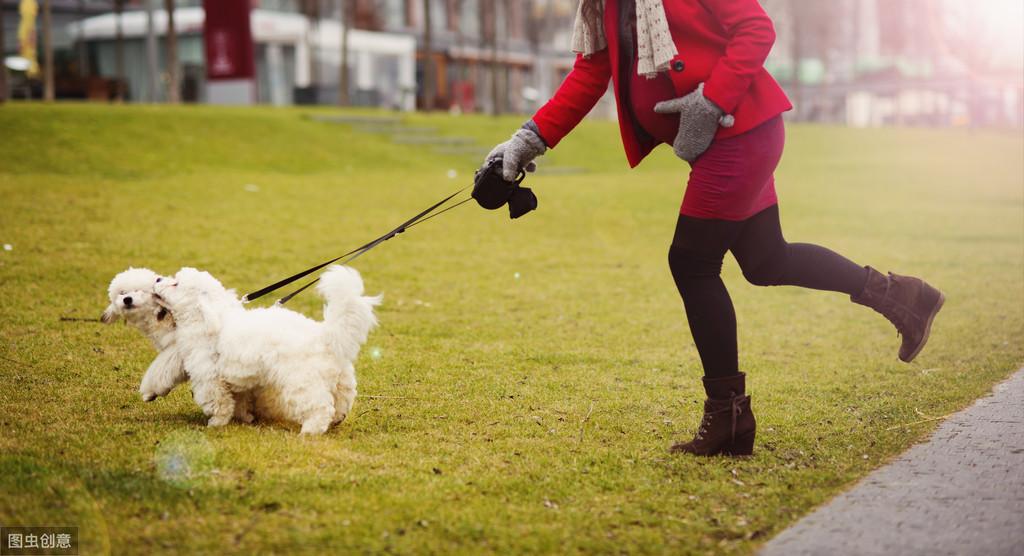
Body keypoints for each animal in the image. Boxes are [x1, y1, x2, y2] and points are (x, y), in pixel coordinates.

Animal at [157, 266, 382, 434]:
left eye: (176, 283)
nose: (158, 279)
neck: (210, 317)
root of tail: (324, 335)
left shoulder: (210, 380)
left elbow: (220, 403)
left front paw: (216, 424)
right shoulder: (242, 382)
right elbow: (240, 402)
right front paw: (245, 418)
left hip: (301, 383)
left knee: (320, 407)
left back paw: (310, 431)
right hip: (342, 380)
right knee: (342, 402)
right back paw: (336, 420)